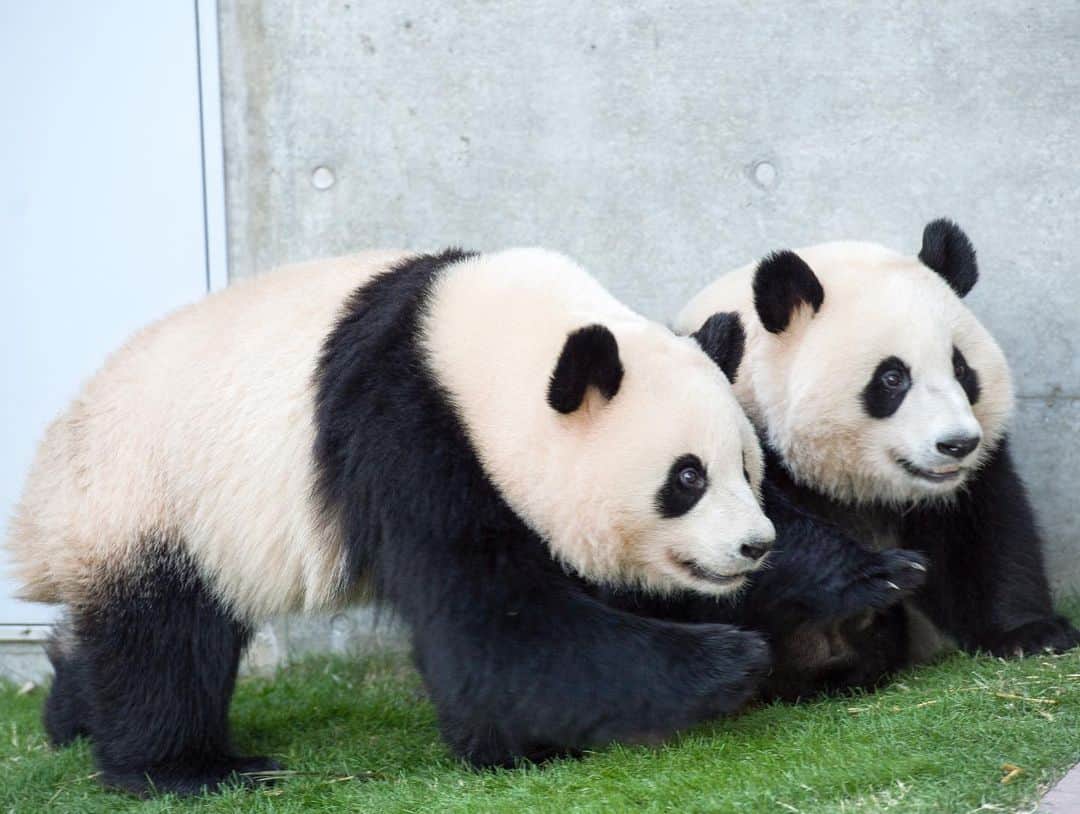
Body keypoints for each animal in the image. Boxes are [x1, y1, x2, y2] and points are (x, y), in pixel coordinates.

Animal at [6, 247, 778, 796]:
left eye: (747, 467)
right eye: (687, 477)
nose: (755, 546)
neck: (476, 351)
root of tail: (39, 498)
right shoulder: (405, 433)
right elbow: (489, 634)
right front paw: (731, 660)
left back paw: (70, 715)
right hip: (152, 499)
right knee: (164, 641)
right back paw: (187, 769)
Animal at [670, 219, 1080, 697]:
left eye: (961, 370)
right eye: (892, 378)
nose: (956, 444)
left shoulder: (971, 472)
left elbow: (981, 531)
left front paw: (1031, 633)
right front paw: (878, 574)